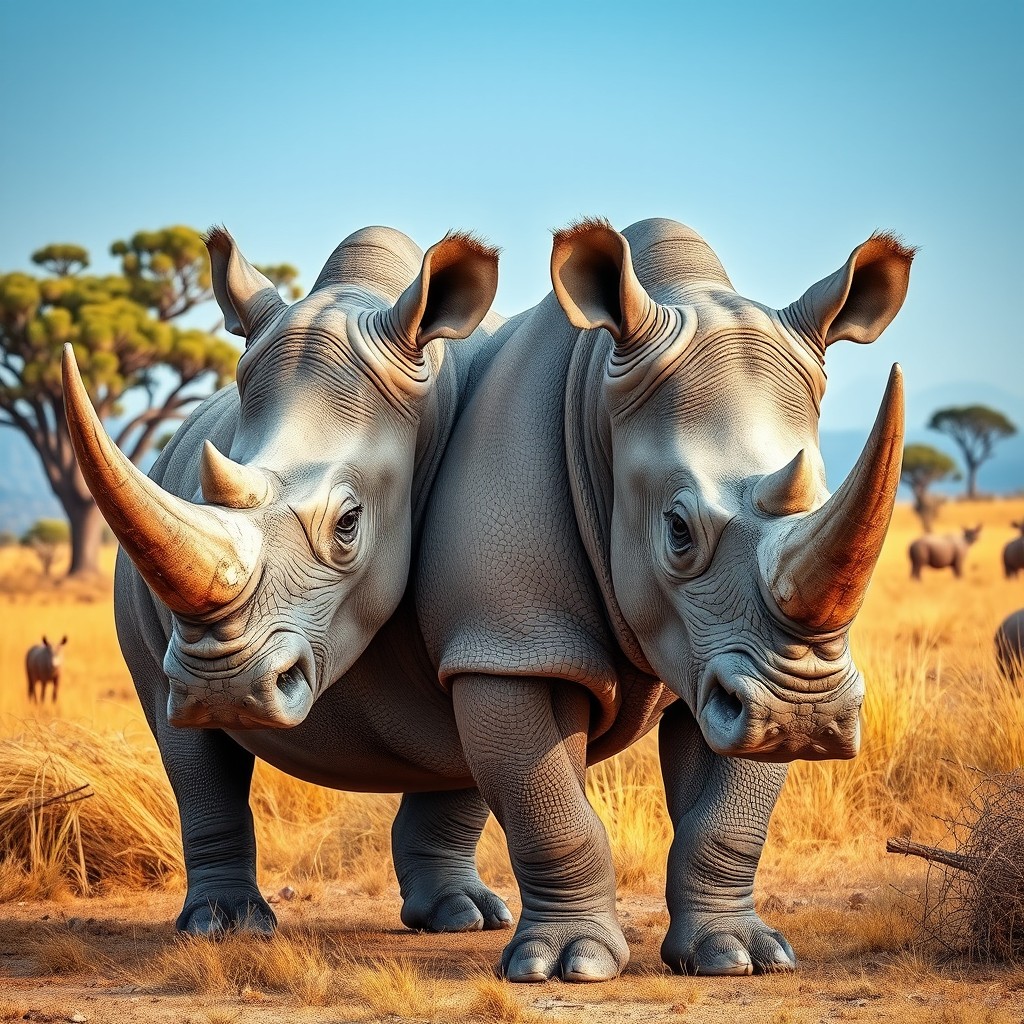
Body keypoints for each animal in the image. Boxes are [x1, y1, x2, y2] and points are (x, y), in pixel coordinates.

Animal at [416, 218, 911, 981]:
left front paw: (739, 957)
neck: (599, 394)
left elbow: (728, 816)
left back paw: (456, 918)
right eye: (677, 530)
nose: (806, 714)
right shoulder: (508, 642)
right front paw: (568, 967)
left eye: (825, 500)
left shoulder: (732, 661)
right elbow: (549, 806)